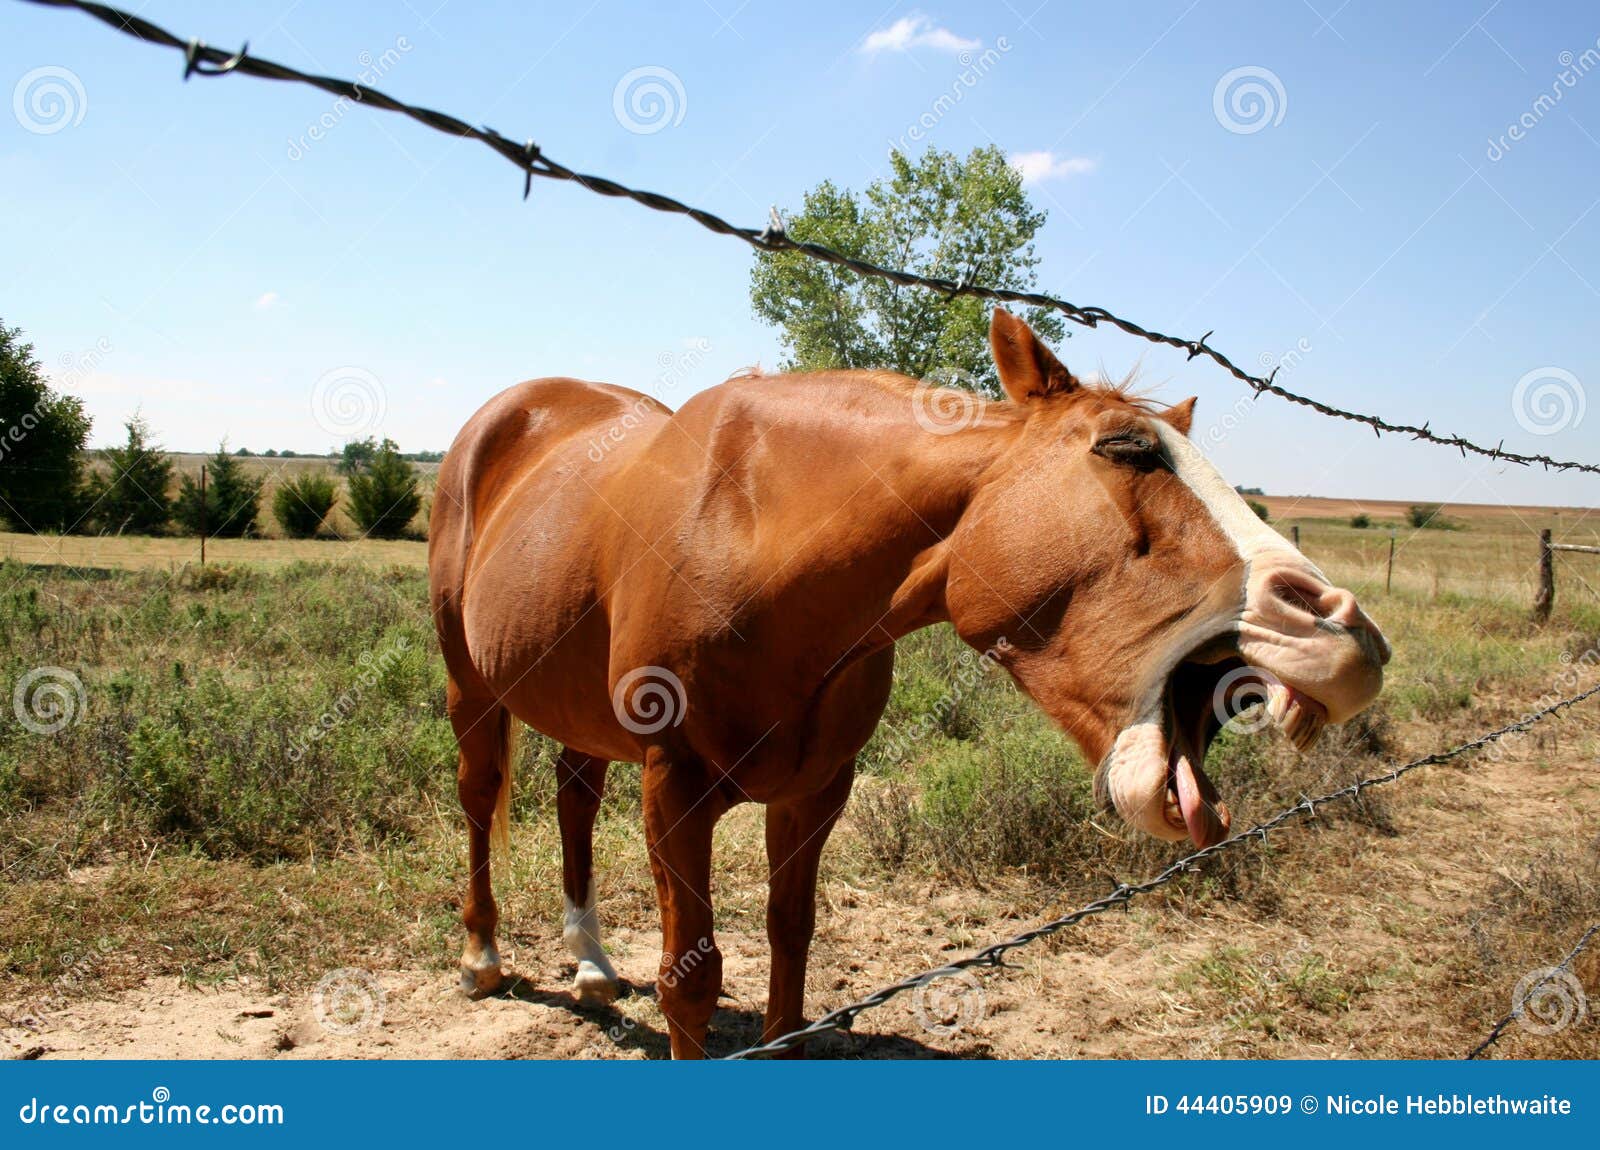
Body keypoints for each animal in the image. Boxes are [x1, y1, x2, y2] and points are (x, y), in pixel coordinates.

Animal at [427, 309, 1389, 1058]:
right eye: (1127, 449)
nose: (1350, 633)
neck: (749, 532)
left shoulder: (817, 791)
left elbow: (791, 945)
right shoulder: (676, 790)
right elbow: (690, 981)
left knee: (574, 795)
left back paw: (590, 963)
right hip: (471, 688)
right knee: (480, 795)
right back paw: (482, 959)